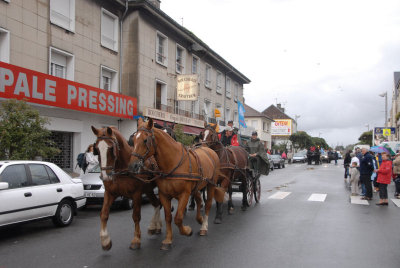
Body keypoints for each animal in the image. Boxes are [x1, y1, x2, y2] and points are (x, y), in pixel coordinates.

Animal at [131, 118, 225, 250]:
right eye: (134, 139)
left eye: (145, 140)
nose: (133, 165)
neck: (172, 163)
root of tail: (209, 150)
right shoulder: (164, 195)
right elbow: (168, 217)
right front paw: (168, 240)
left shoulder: (184, 194)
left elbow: (178, 218)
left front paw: (187, 231)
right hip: (196, 187)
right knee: (199, 200)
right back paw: (199, 219)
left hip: (211, 184)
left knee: (207, 204)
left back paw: (204, 227)